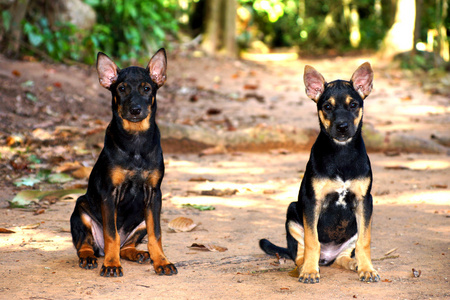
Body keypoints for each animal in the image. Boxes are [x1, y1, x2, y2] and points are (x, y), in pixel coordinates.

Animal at [69, 48, 177, 276]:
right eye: (121, 88)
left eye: (147, 88)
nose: (135, 109)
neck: (135, 141)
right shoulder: (110, 193)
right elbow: (111, 234)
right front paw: (111, 264)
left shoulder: (154, 193)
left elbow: (156, 234)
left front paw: (162, 262)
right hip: (80, 209)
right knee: (85, 243)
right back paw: (90, 257)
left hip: (142, 219)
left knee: (126, 244)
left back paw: (137, 254)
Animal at [260, 62, 380, 284]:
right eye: (327, 107)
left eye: (353, 105)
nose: (342, 127)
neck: (341, 152)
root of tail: (327, 257)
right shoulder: (311, 201)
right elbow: (312, 241)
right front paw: (309, 271)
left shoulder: (364, 201)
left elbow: (365, 241)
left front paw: (367, 269)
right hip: (292, 213)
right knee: (300, 253)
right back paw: (304, 266)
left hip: (351, 231)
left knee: (344, 256)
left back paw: (354, 263)